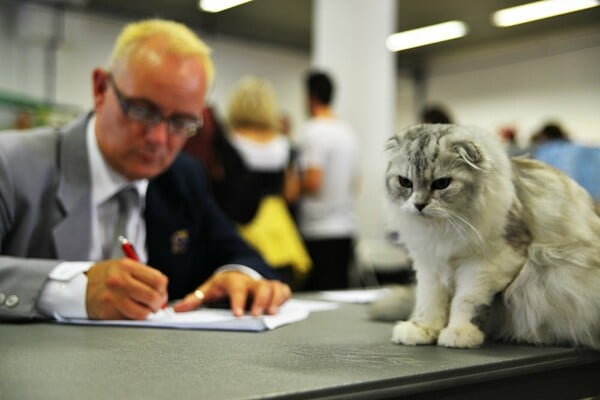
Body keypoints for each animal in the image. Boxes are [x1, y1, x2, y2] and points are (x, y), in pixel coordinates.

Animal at [380, 123, 600, 348]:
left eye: (441, 184)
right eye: (405, 182)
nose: (419, 205)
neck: (442, 229)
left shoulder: (488, 263)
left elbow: (466, 301)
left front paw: (460, 333)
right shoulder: (429, 265)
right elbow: (428, 301)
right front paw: (422, 329)